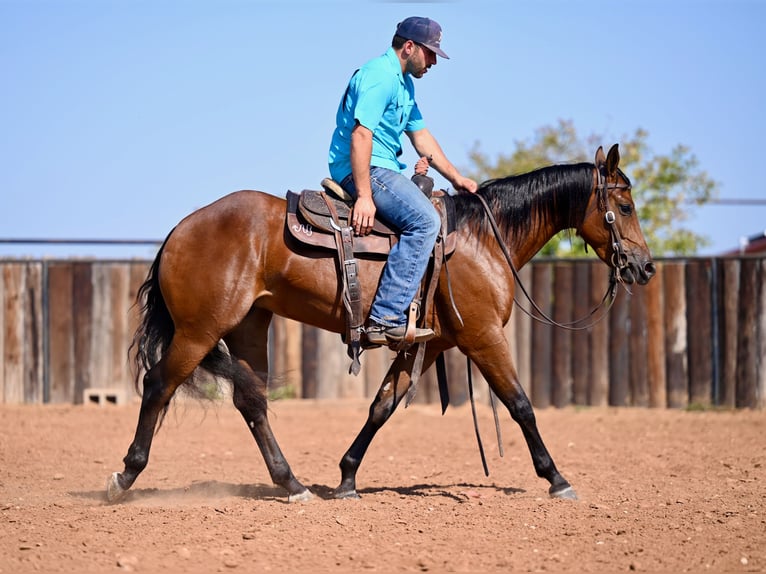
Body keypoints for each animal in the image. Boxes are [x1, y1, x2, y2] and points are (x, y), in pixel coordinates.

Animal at [106, 144, 656, 504]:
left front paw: (347, 479)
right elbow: (520, 404)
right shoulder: (483, 337)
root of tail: (180, 230)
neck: (482, 239)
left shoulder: (426, 346)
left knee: (251, 401)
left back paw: (293, 485)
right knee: (159, 386)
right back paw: (125, 477)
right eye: (624, 205)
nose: (645, 267)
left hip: (249, 326)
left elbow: (382, 406)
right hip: (199, 330)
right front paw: (557, 478)